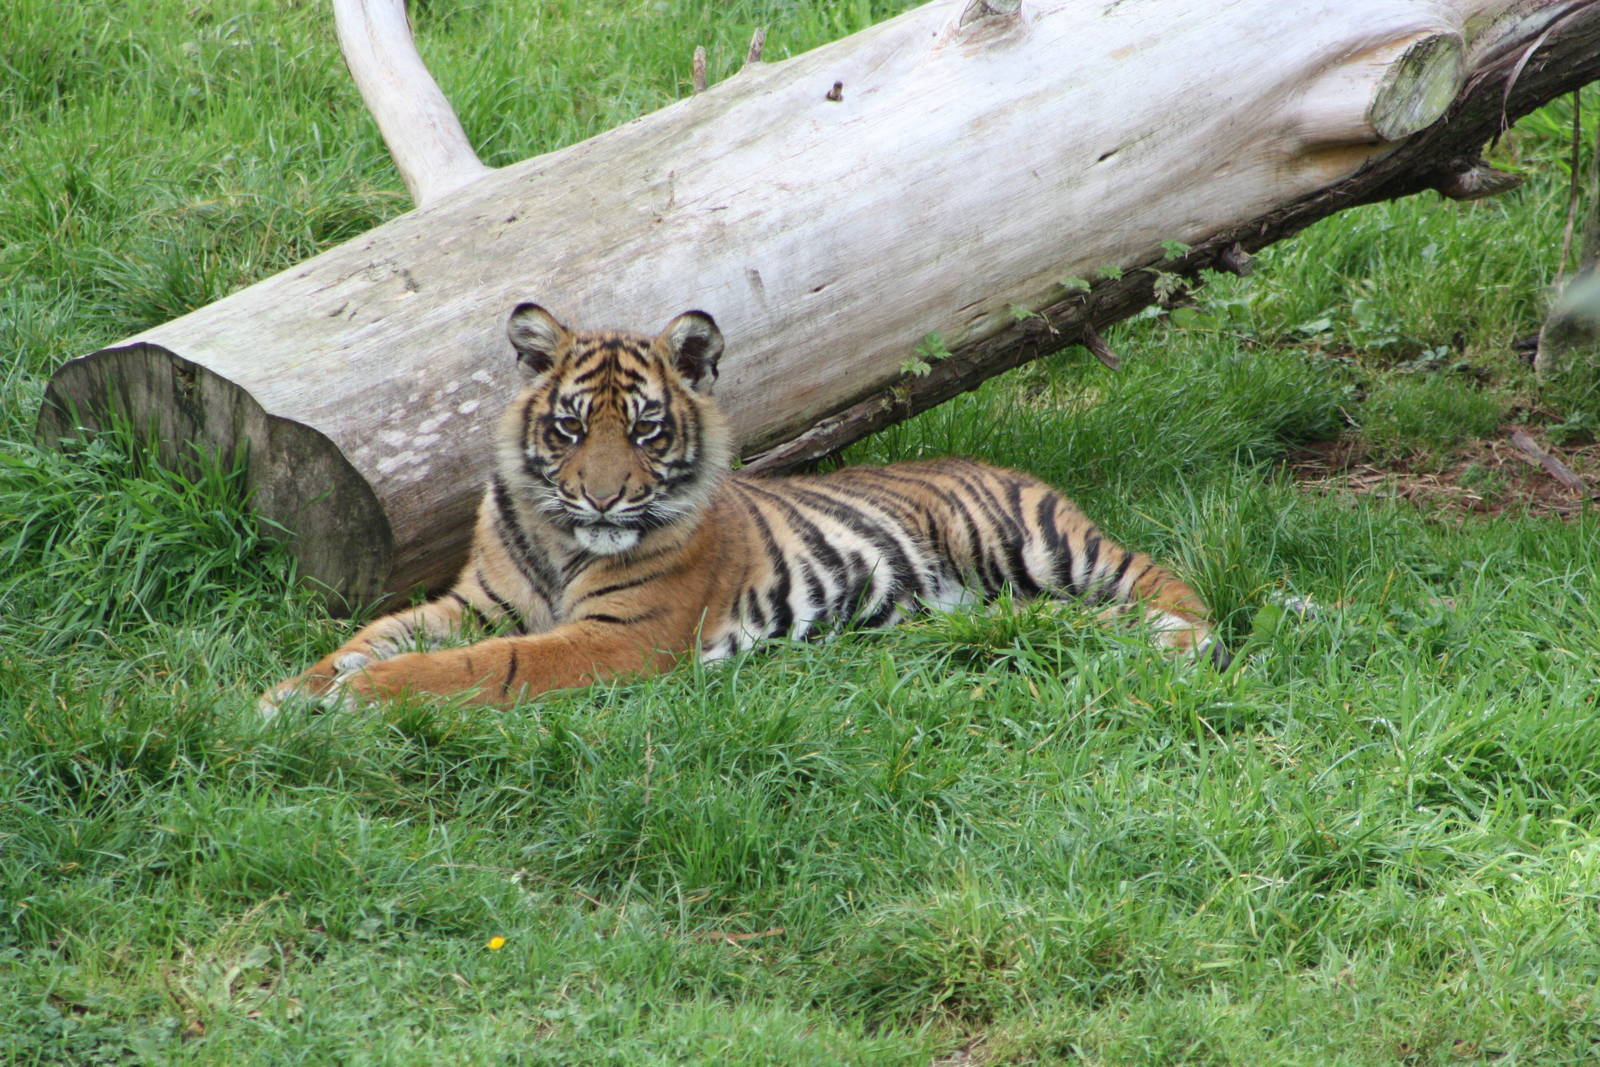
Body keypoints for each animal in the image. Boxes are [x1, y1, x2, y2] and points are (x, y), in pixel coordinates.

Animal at [262, 304, 1226, 712]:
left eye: (646, 429)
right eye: (570, 427)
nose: (601, 496)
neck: (557, 534)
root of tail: (1008, 465)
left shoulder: (620, 634)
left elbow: (483, 665)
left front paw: (363, 694)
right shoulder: (476, 601)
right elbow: (371, 634)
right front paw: (288, 692)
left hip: (1030, 539)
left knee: (1163, 580)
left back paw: (1179, 641)